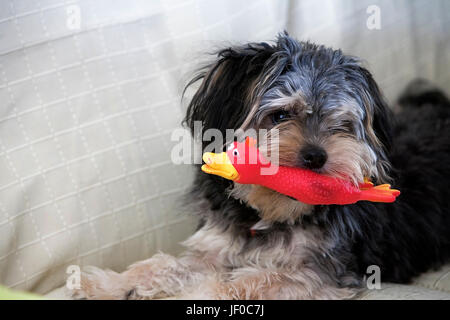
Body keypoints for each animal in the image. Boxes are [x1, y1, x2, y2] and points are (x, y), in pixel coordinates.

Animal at [74, 33, 450, 300]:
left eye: (341, 126)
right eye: (280, 115)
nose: (316, 157)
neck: (268, 216)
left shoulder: (320, 272)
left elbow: (243, 282)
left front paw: (202, 292)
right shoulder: (216, 247)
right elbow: (165, 265)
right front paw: (107, 284)